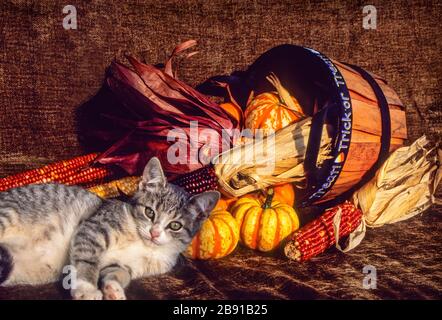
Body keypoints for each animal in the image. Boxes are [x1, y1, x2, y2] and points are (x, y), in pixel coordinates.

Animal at [0, 158, 220, 300]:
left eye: (175, 225)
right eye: (149, 212)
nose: (154, 232)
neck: (145, 246)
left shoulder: (124, 266)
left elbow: (118, 273)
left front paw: (113, 289)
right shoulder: (92, 229)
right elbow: (87, 262)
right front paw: (87, 289)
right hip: (7, 214)